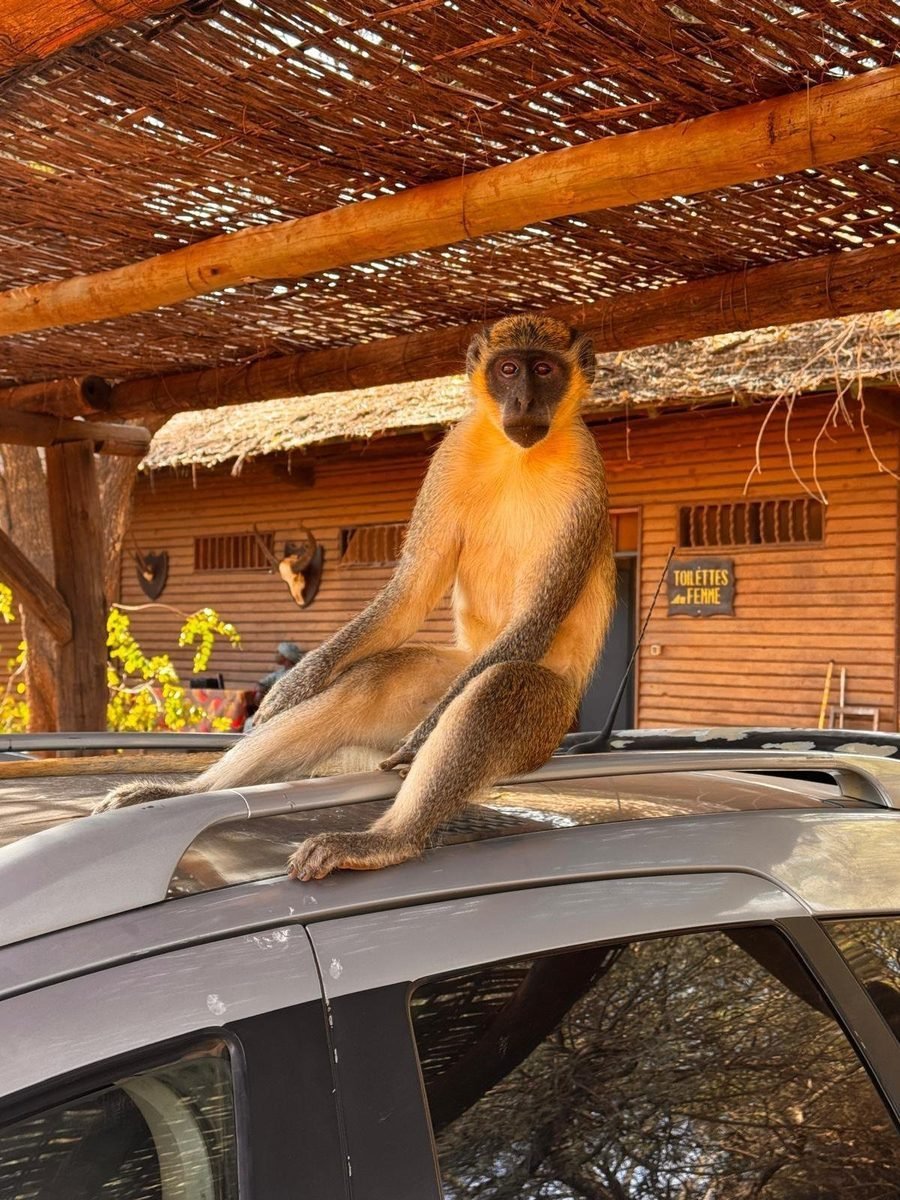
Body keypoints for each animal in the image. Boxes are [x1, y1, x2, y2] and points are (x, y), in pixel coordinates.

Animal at [96, 315, 617, 881]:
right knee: (369, 684)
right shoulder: (451, 455)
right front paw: (293, 685)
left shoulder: (587, 482)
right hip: (452, 671)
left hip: (550, 713)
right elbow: (410, 590)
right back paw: (187, 790)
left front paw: (422, 738)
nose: (521, 400)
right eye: (507, 369)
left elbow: (538, 615)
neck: (518, 455)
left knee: (497, 686)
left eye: (543, 370)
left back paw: (388, 839)